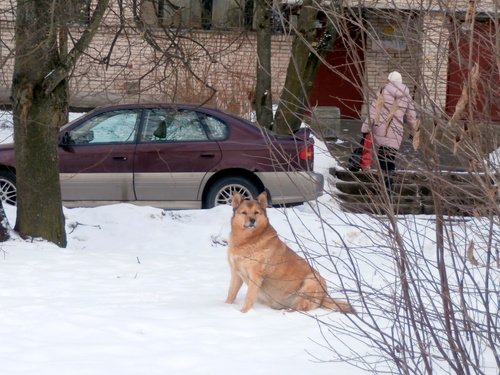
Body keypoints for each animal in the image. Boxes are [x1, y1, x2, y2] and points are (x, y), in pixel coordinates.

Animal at [227, 194, 356, 314]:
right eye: (244, 212)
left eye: (256, 212)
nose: (252, 220)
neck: (247, 240)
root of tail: (323, 297)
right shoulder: (235, 274)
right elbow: (231, 293)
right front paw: (226, 306)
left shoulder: (255, 276)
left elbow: (249, 298)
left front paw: (243, 312)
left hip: (311, 281)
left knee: (300, 308)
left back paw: (286, 312)